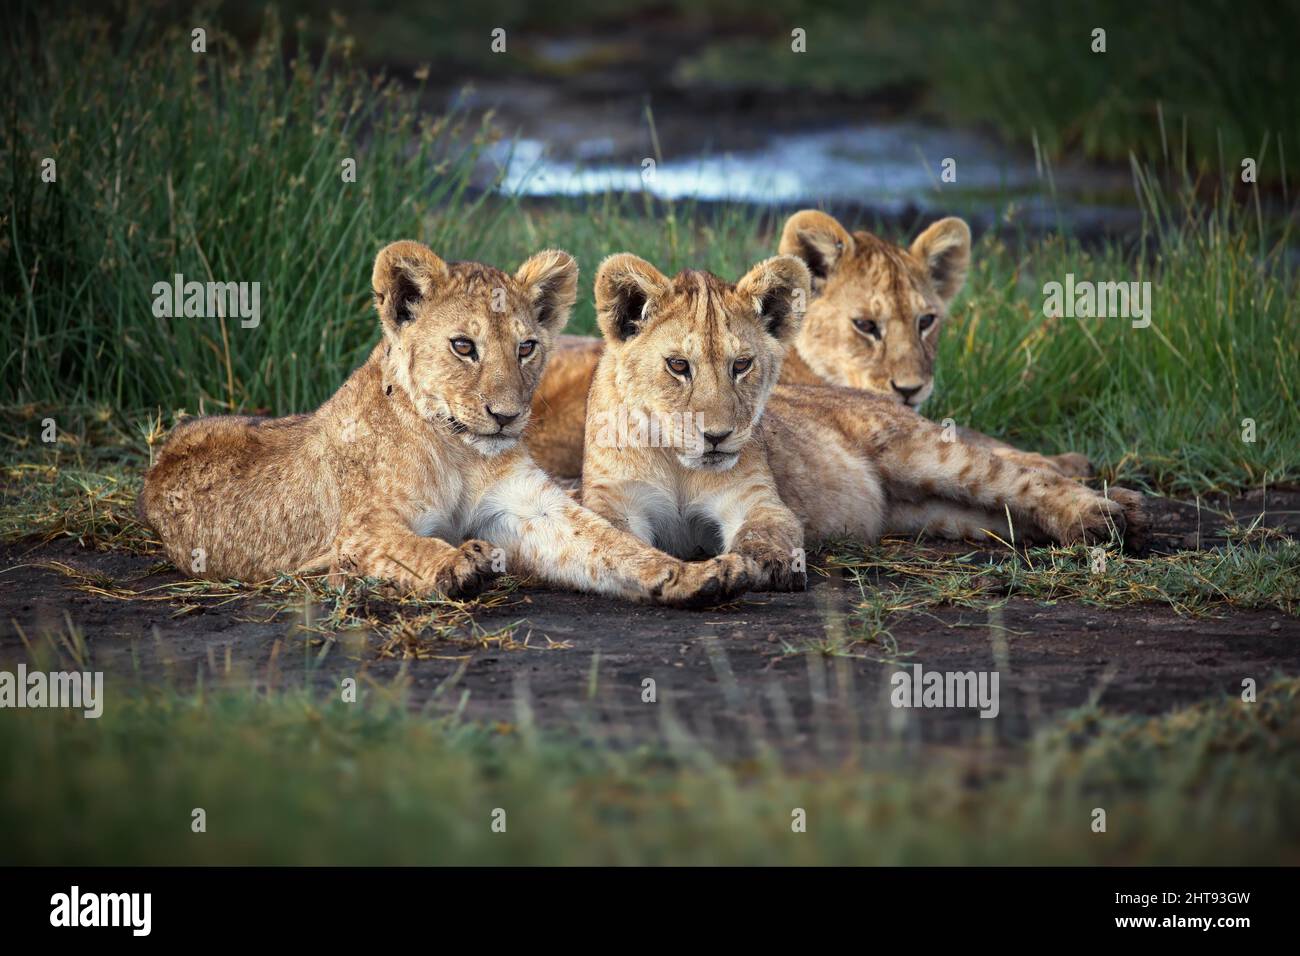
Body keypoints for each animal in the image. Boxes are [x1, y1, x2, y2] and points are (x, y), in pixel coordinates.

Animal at [137, 242, 751, 608]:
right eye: (463, 346)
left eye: (526, 347)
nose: (506, 416)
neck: (458, 450)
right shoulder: (357, 531)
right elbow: (408, 547)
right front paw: (459, 564)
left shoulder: (529, 508)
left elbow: (611, 545)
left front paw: (690, 575)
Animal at [578, 253, 1147, 591]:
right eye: (678, 366)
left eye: (741, 365)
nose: (717, 436)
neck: (677, 460)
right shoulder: (614, 502)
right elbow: (614, 539)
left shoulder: (755, 497)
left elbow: (764, 532)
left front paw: (752, 566)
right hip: (936, 511)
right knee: (1006, 511)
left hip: (922, 453)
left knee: (1023, 477)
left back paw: (1105, 516)